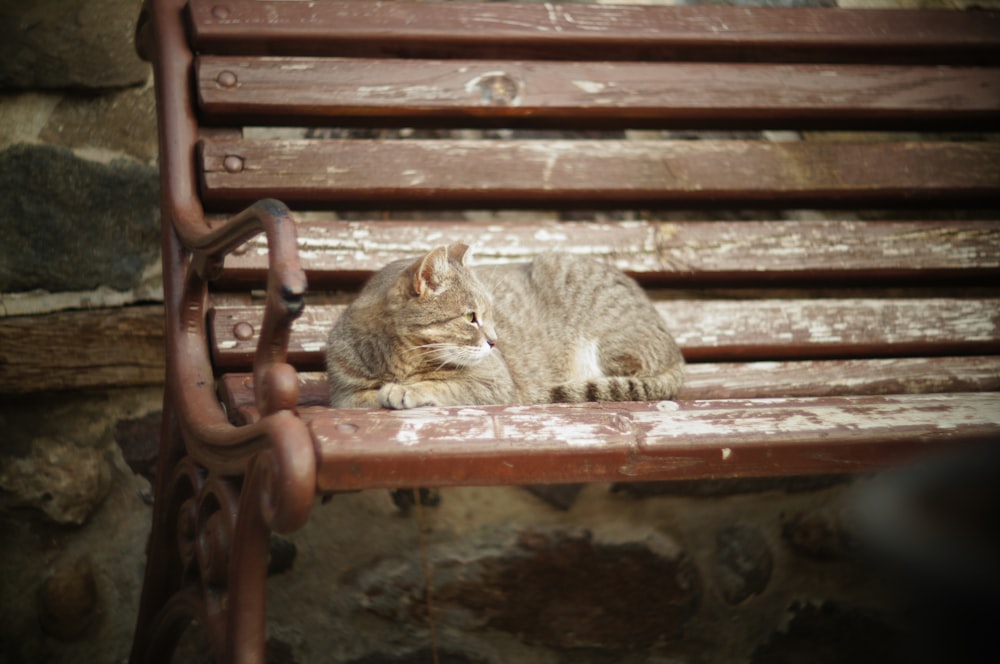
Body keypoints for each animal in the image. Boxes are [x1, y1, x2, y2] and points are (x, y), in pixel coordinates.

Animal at [324, 244, 684, 410]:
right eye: (471, 317)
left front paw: (407, 390)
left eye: (490, 314)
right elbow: (364, 396)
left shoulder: (494, 381)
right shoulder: (343, 394)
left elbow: (445, 386)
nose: (495, 342)